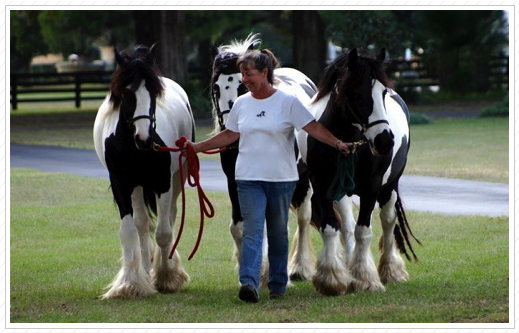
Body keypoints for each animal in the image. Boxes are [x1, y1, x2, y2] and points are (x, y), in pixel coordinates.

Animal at [93, 44, 195, 298]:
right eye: (127, 93)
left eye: (154, 92)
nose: (144, 138)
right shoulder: (121, 184)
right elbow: (129, 230)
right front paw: (130, 283)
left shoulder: (163, 182)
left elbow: (164, 233)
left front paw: (167, 277)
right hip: (137, 187)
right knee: (141, 224)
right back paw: (146, 271)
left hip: (176, 179)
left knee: (169, 218)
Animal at [298, 48, 420, 294]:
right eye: (357, 93)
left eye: (383, 92)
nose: (385, 141)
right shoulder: (322, 186)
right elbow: (331, 227)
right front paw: (333, 278)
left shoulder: (372, 188)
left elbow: (364, 230)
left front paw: (365, 279)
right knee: (345, 226)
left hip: (390, 187)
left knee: (388, 221)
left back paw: (390, 270)